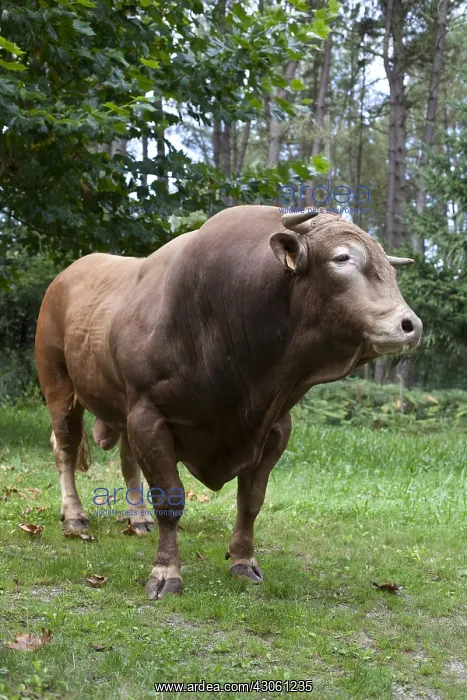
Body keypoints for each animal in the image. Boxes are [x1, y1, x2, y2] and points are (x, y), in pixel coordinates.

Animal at [35, 206, 422, 599]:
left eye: (390, 269)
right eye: (342, 258)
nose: (410, 325)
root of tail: (65, 277)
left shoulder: (275, 427)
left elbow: (250, 501)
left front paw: (243, 560)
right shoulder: (149, 415)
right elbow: (170, 499)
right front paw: (166, 571)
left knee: (127, 461)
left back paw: (138, 518)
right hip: (60, 388)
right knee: (65, 449)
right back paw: (74, 517)